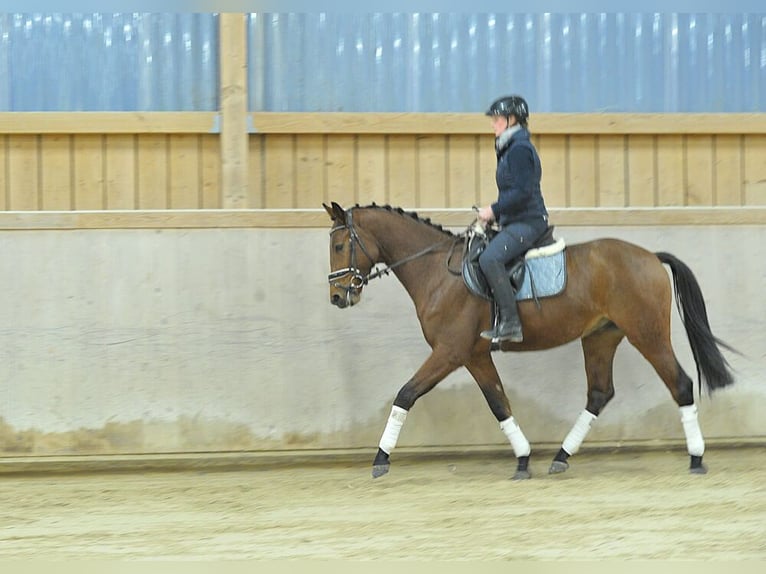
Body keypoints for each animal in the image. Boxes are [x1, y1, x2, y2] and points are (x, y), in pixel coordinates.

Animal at [322, 201, 736, 480]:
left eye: (340, 246)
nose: (338, 297)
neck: (438, 272)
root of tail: (650, 256)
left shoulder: (449, 352)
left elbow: (406, 394)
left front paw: (380, 459)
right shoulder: (473, 355)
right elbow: (499, 403)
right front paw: (523, 459)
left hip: (647, 334)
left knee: (680, 384)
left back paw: (696, 458)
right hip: (601, 337)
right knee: (599, 393)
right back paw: (561, 456)